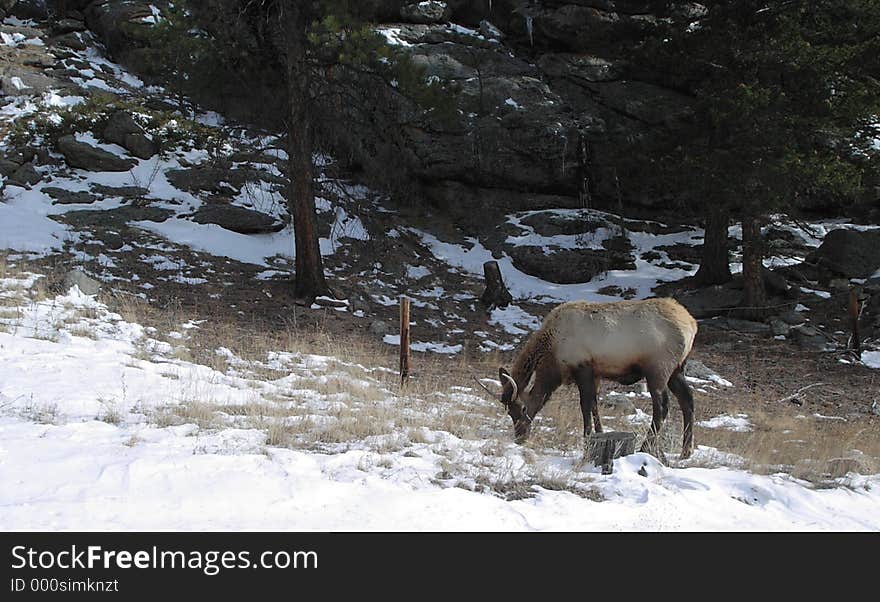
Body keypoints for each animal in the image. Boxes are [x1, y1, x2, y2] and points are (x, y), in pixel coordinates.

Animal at [478, 298, 696, 458]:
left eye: (522, 408)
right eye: (509, 412)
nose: (520, 436)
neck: (553, 354)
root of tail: (692, 325)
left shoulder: (582, 367)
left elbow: (584, 405)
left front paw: (587, 438)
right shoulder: (596, 373)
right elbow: (594, 405)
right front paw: (599, 433)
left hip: (658, 368)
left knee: (662, 407)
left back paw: (645, 447)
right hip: (677, 369)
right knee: (687, 400)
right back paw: (685, 452)